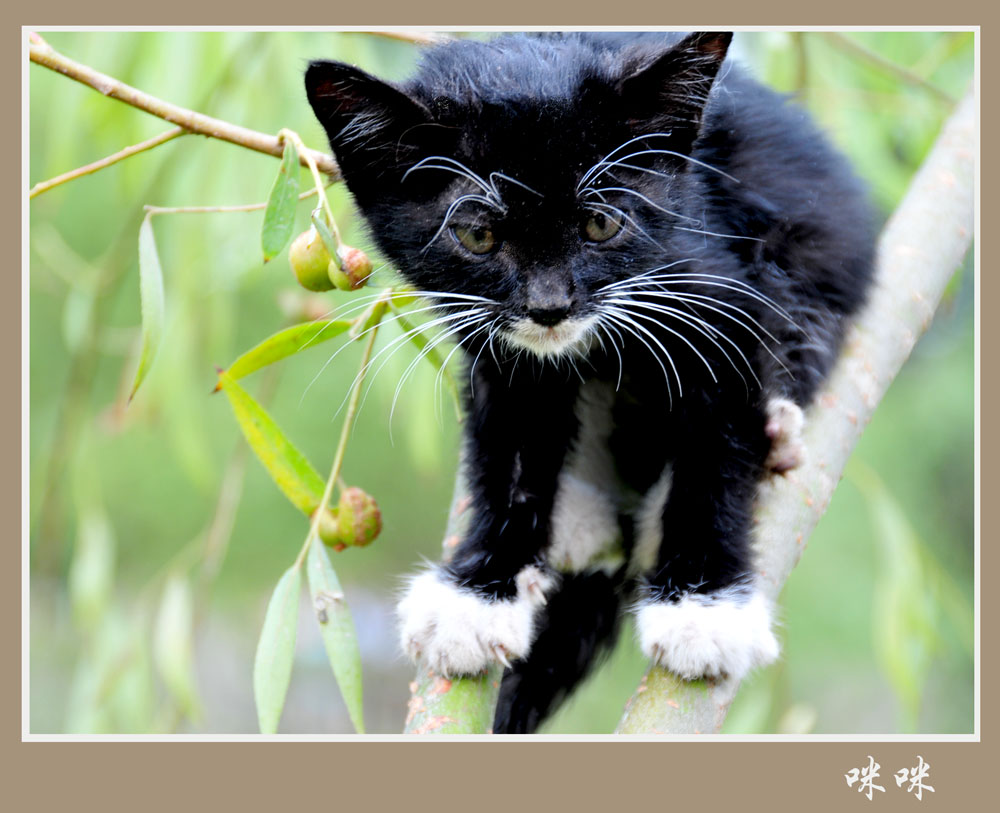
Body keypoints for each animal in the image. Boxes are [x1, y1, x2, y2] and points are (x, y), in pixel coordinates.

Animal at [306, 31, 876, 732]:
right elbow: (508, 447)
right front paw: (479, 592)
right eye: (478, 234)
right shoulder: (495, 342)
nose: (549, 306)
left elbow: (715, 447)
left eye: (602, 224)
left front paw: (704, 608)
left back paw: (776, 432)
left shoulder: (721, 296)